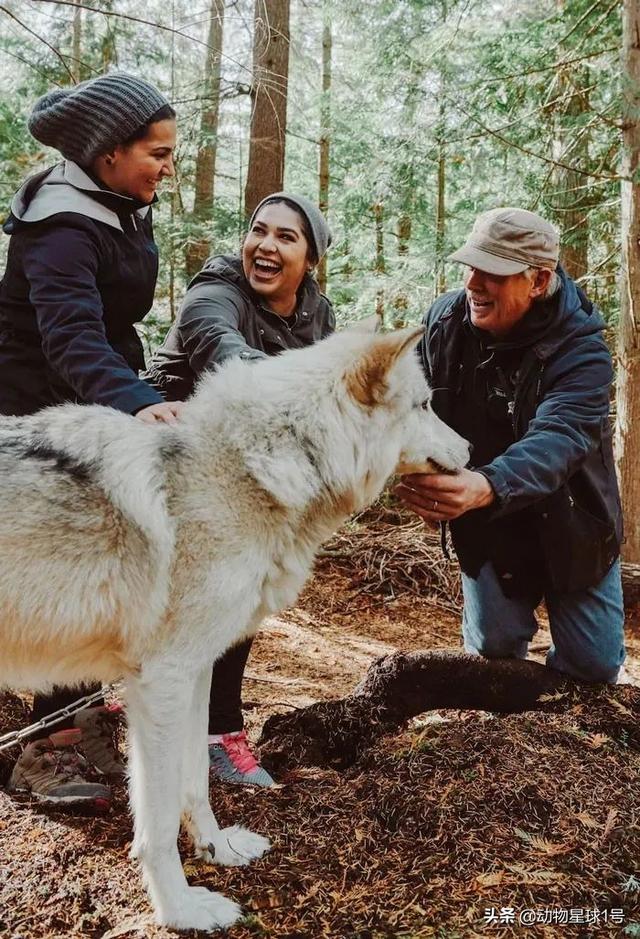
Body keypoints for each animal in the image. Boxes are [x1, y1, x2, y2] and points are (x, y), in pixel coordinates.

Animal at [0, 326, 470, 928]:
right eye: (426, 405)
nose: (471, 450)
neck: (248, 470)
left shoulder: (196, 671)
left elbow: (197, 780)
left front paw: (217, 850)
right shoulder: (162, 679)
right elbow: (156, 822)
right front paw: (180, 910)